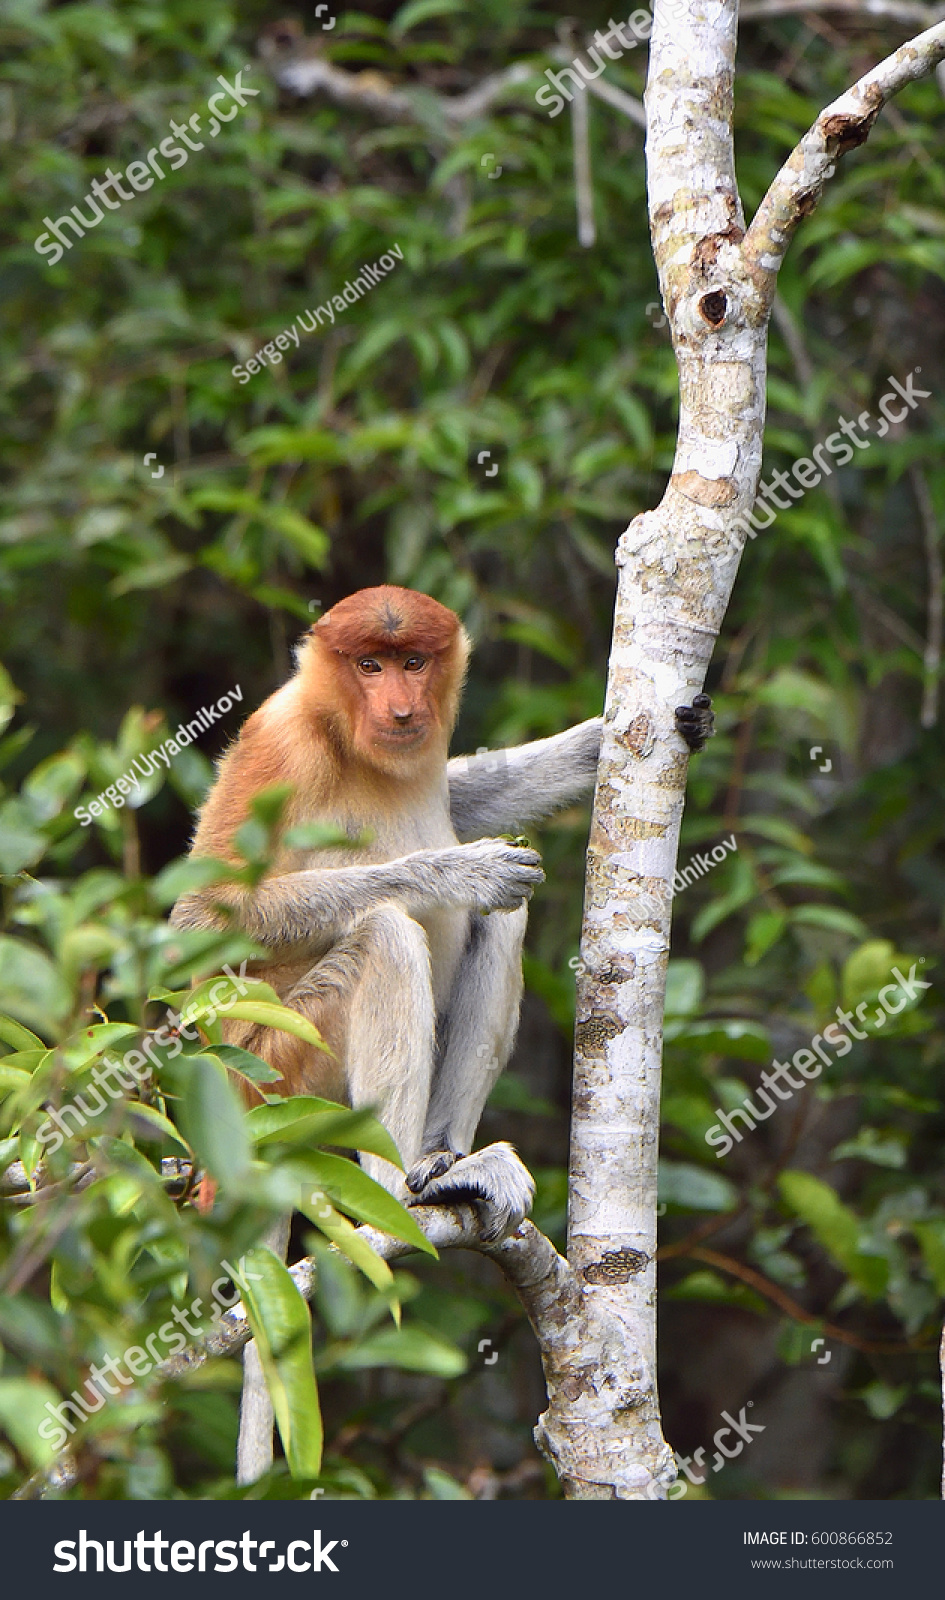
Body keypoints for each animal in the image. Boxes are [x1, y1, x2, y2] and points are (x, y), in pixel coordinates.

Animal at [171, 585, 716, 1235]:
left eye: (413, 663)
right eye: (369, 666)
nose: (402, 712)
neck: (342, 733)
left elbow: (462, 801)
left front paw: (625, 735)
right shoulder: (280, 746)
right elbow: (204, 914)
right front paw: (471, 872)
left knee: (501, 923)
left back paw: (443, 1156)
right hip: (278, 1069)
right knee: (386, 935)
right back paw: (409, 1189)